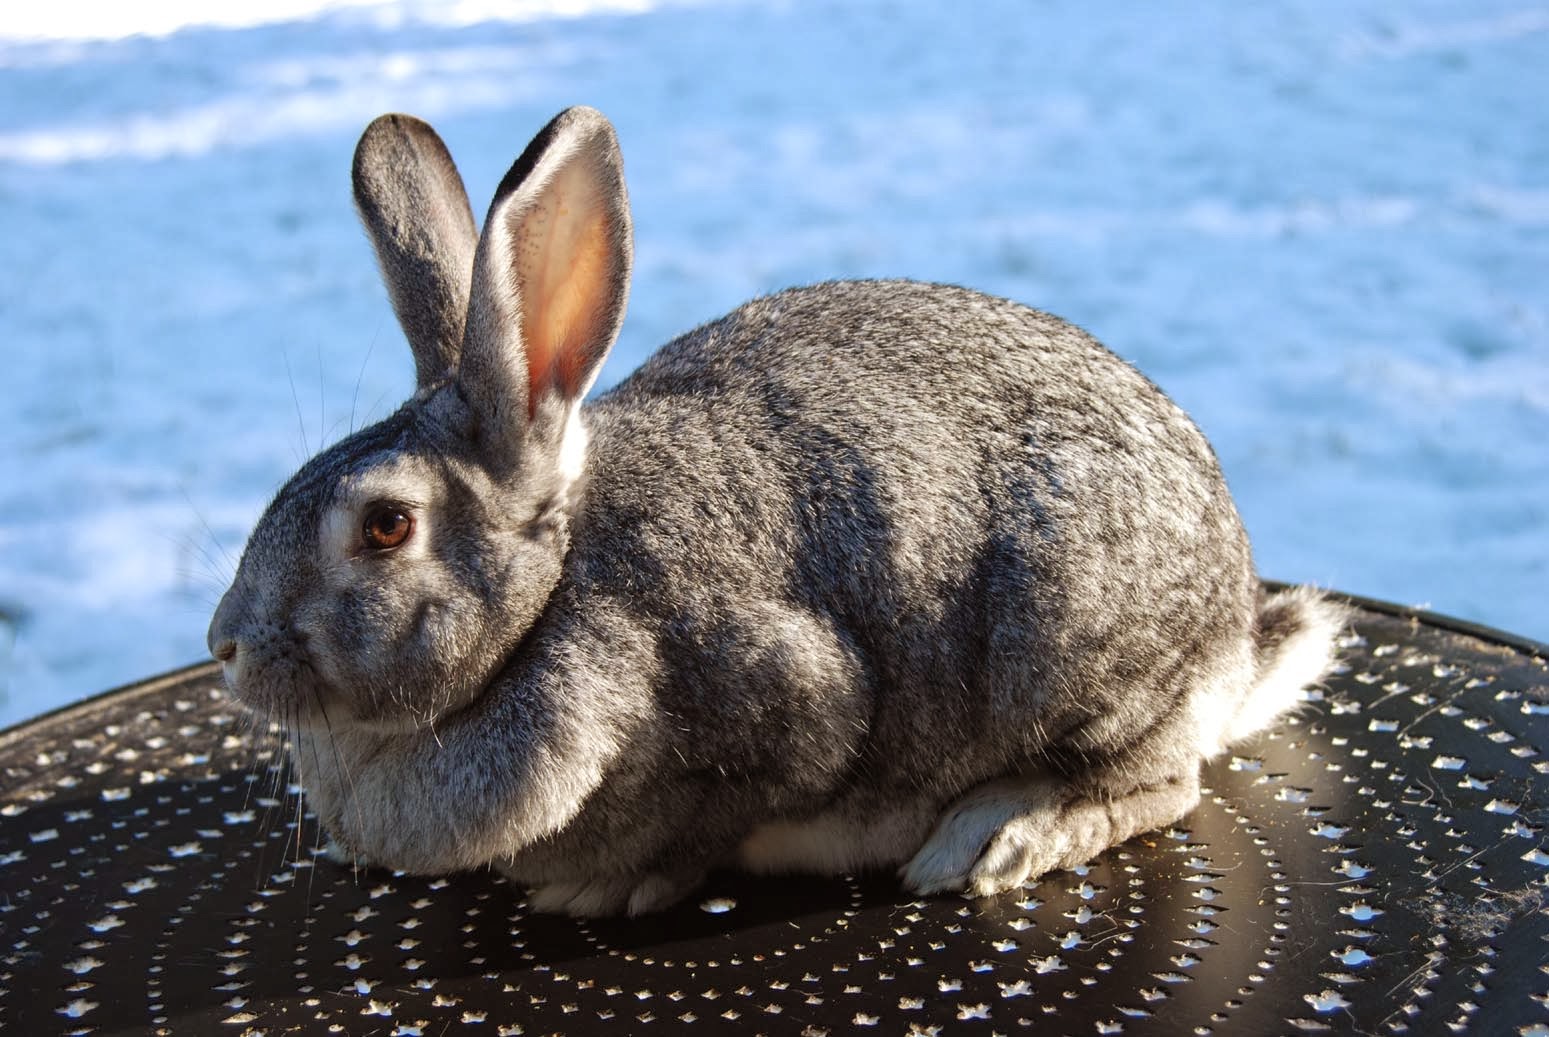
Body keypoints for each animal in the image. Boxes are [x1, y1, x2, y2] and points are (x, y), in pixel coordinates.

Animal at [208, 106, 1346, 918]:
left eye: (384, 526)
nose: (224, 643)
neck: (550, 597)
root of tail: (1232, 641)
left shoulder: (790, 704)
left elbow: (714, 815)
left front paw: (605, 883)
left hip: (1069, 635)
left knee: (1162, 781)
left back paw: (1000, 832)